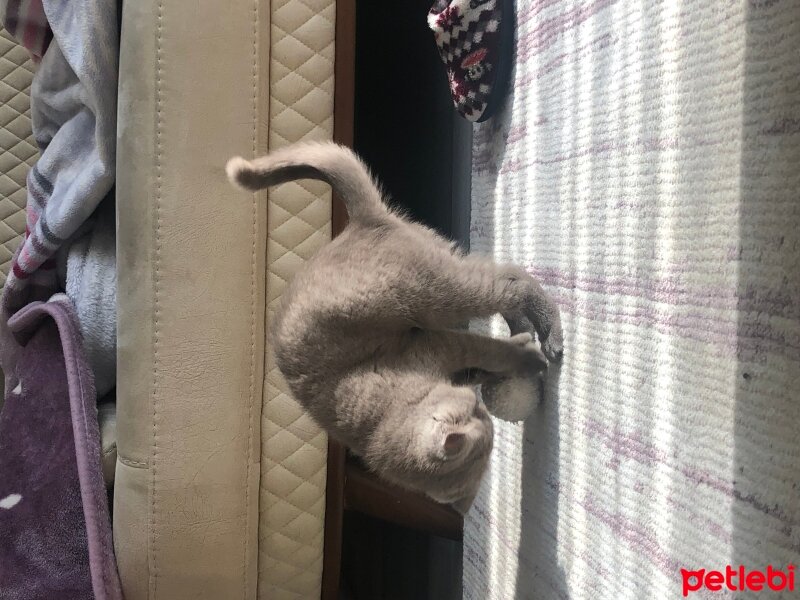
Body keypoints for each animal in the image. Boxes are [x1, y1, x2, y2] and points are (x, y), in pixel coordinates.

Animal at [225, 141, 564, 510]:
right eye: (480, 414)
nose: (481, 405)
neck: (382, 420)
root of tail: (360, 222)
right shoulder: (443, 352)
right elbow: (486, 359)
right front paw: (518, 358)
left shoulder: (435, 344)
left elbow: (490, 350)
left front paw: (528, 358)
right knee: (506, 286)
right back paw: (524, 331)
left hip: (435, 295)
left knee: (513, 282)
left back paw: (551, 338)